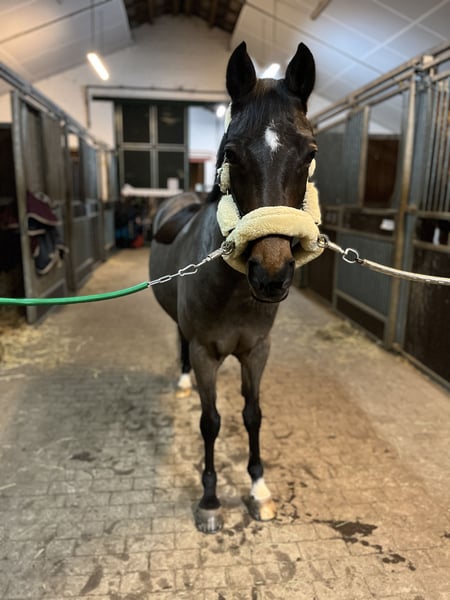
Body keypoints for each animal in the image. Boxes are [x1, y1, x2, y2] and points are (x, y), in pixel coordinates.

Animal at [150, 41, 323, 533]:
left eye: (309, 154)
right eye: (230, 153)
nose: (272, 274)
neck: (232, 292)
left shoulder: (256, 351)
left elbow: (252, 415)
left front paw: (258, 489)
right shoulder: (207, 353)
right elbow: (211, 421)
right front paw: (210, 500)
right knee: (180, 343)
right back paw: (182, 381)